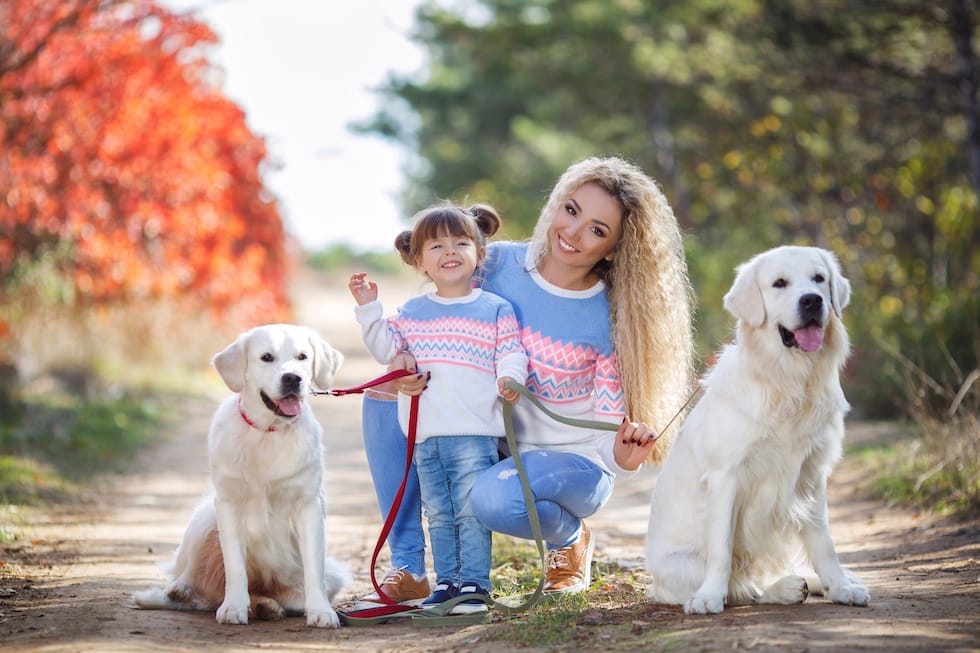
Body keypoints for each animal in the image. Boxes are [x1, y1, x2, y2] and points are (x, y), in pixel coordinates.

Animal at [134, 324, 352, 624]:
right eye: (267, 357)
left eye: (302, 357)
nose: (292, 378)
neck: (268, 433)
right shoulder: (227, 504)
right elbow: (235, 567)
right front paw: (234, 607)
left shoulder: (309, 505)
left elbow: (313, 570)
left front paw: (321, 611)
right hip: (204, 519)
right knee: (191, 576)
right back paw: (180, 589)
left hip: (329, 574)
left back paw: (266, 606)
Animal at [648, 247, 868, 612]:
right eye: (779, 283)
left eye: (819, 279)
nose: (812, 301)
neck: (788, 382)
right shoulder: (725, 477)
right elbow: (721, 551)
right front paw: (709, 597)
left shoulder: (811, 475)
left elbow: (824, 543)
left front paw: (840, 587)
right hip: (679, 565)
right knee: (745, 586)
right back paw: (784, 589)